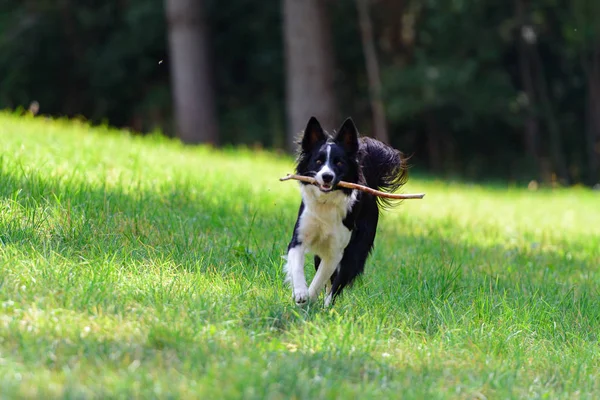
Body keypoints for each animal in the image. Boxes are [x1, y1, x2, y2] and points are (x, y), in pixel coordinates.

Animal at [282, 115, 408, 306]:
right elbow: (297, 267)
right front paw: (300, 293)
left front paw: (309, 300)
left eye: (339, 162)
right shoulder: (299, 238)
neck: (326, 203)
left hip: (355, 251)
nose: (327, 176)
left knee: (336, 284)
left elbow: (320, 280)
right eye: (318, 161)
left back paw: (328, 307)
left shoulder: (335, 252)